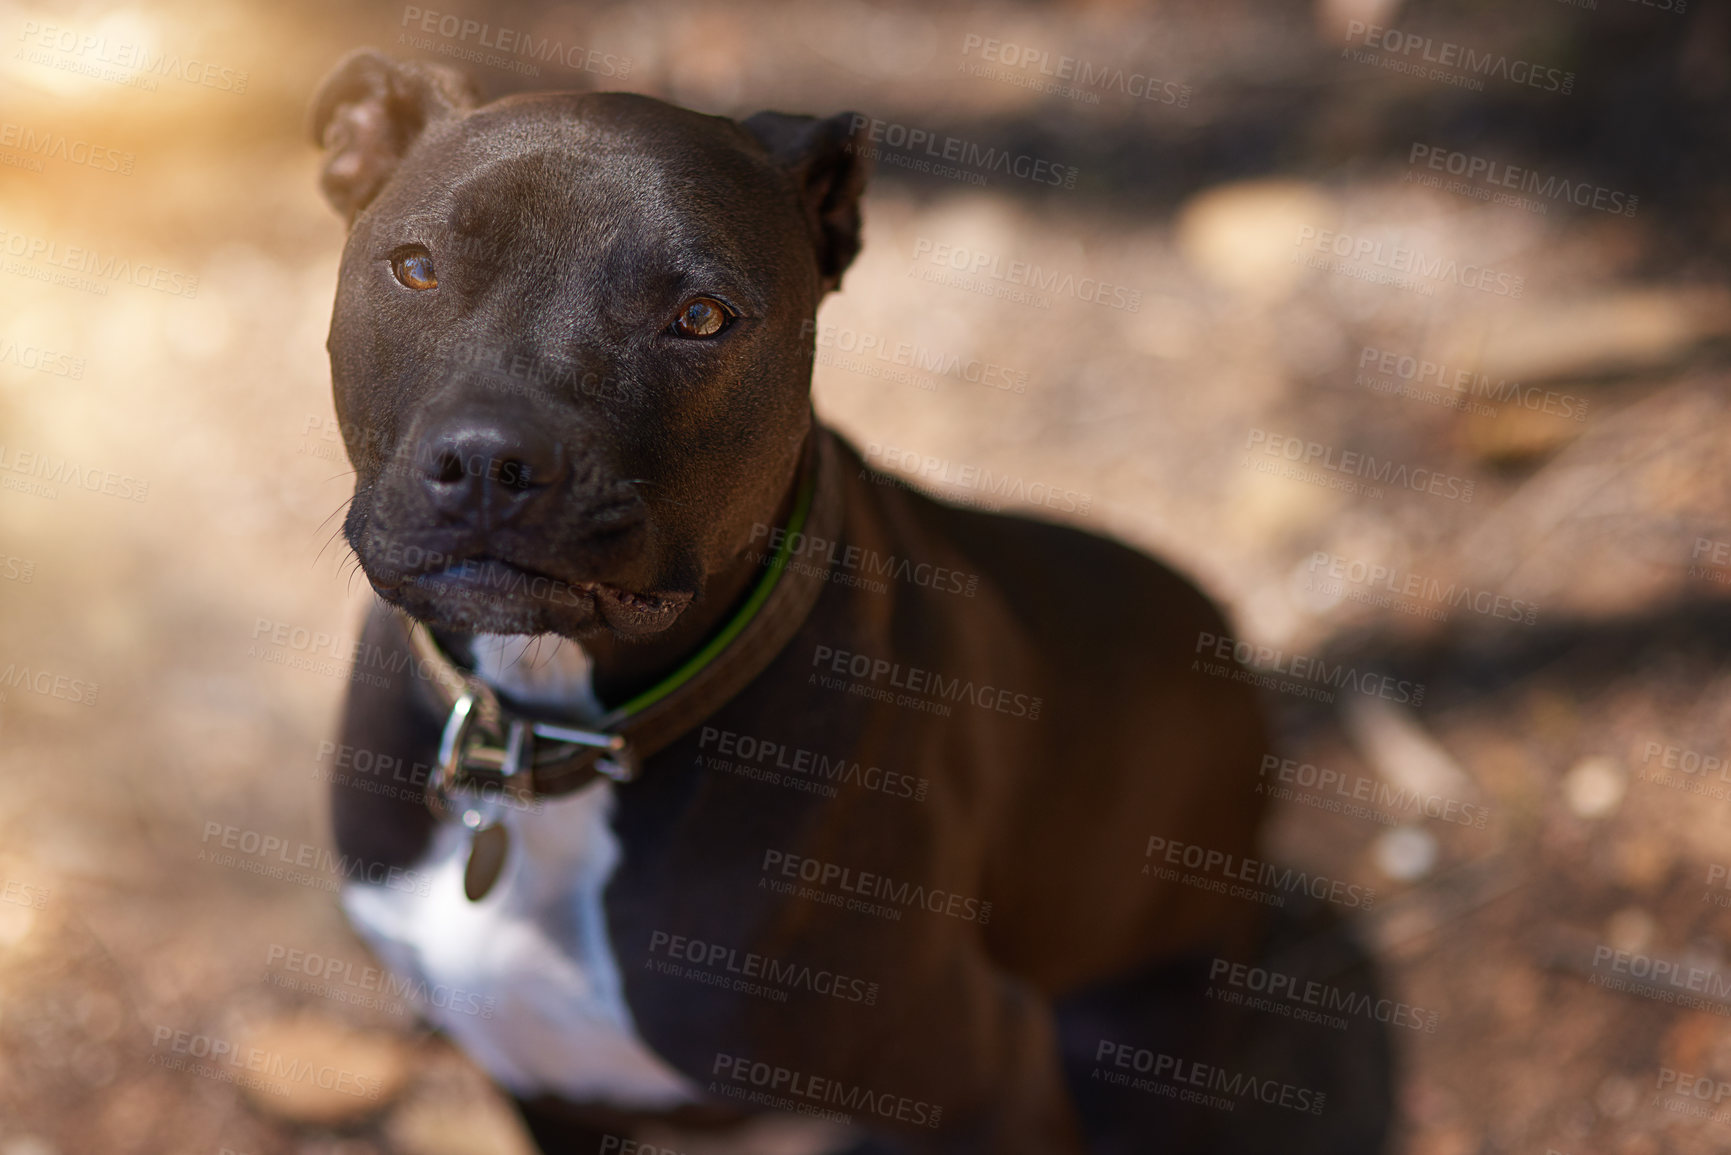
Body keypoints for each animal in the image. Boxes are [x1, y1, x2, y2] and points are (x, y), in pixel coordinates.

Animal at [311, 49, 1391, 1149]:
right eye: (416, 266)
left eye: (700, 317)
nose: (491, 462)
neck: (549, 732)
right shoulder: (545, 1088)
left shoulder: (987, 1076)